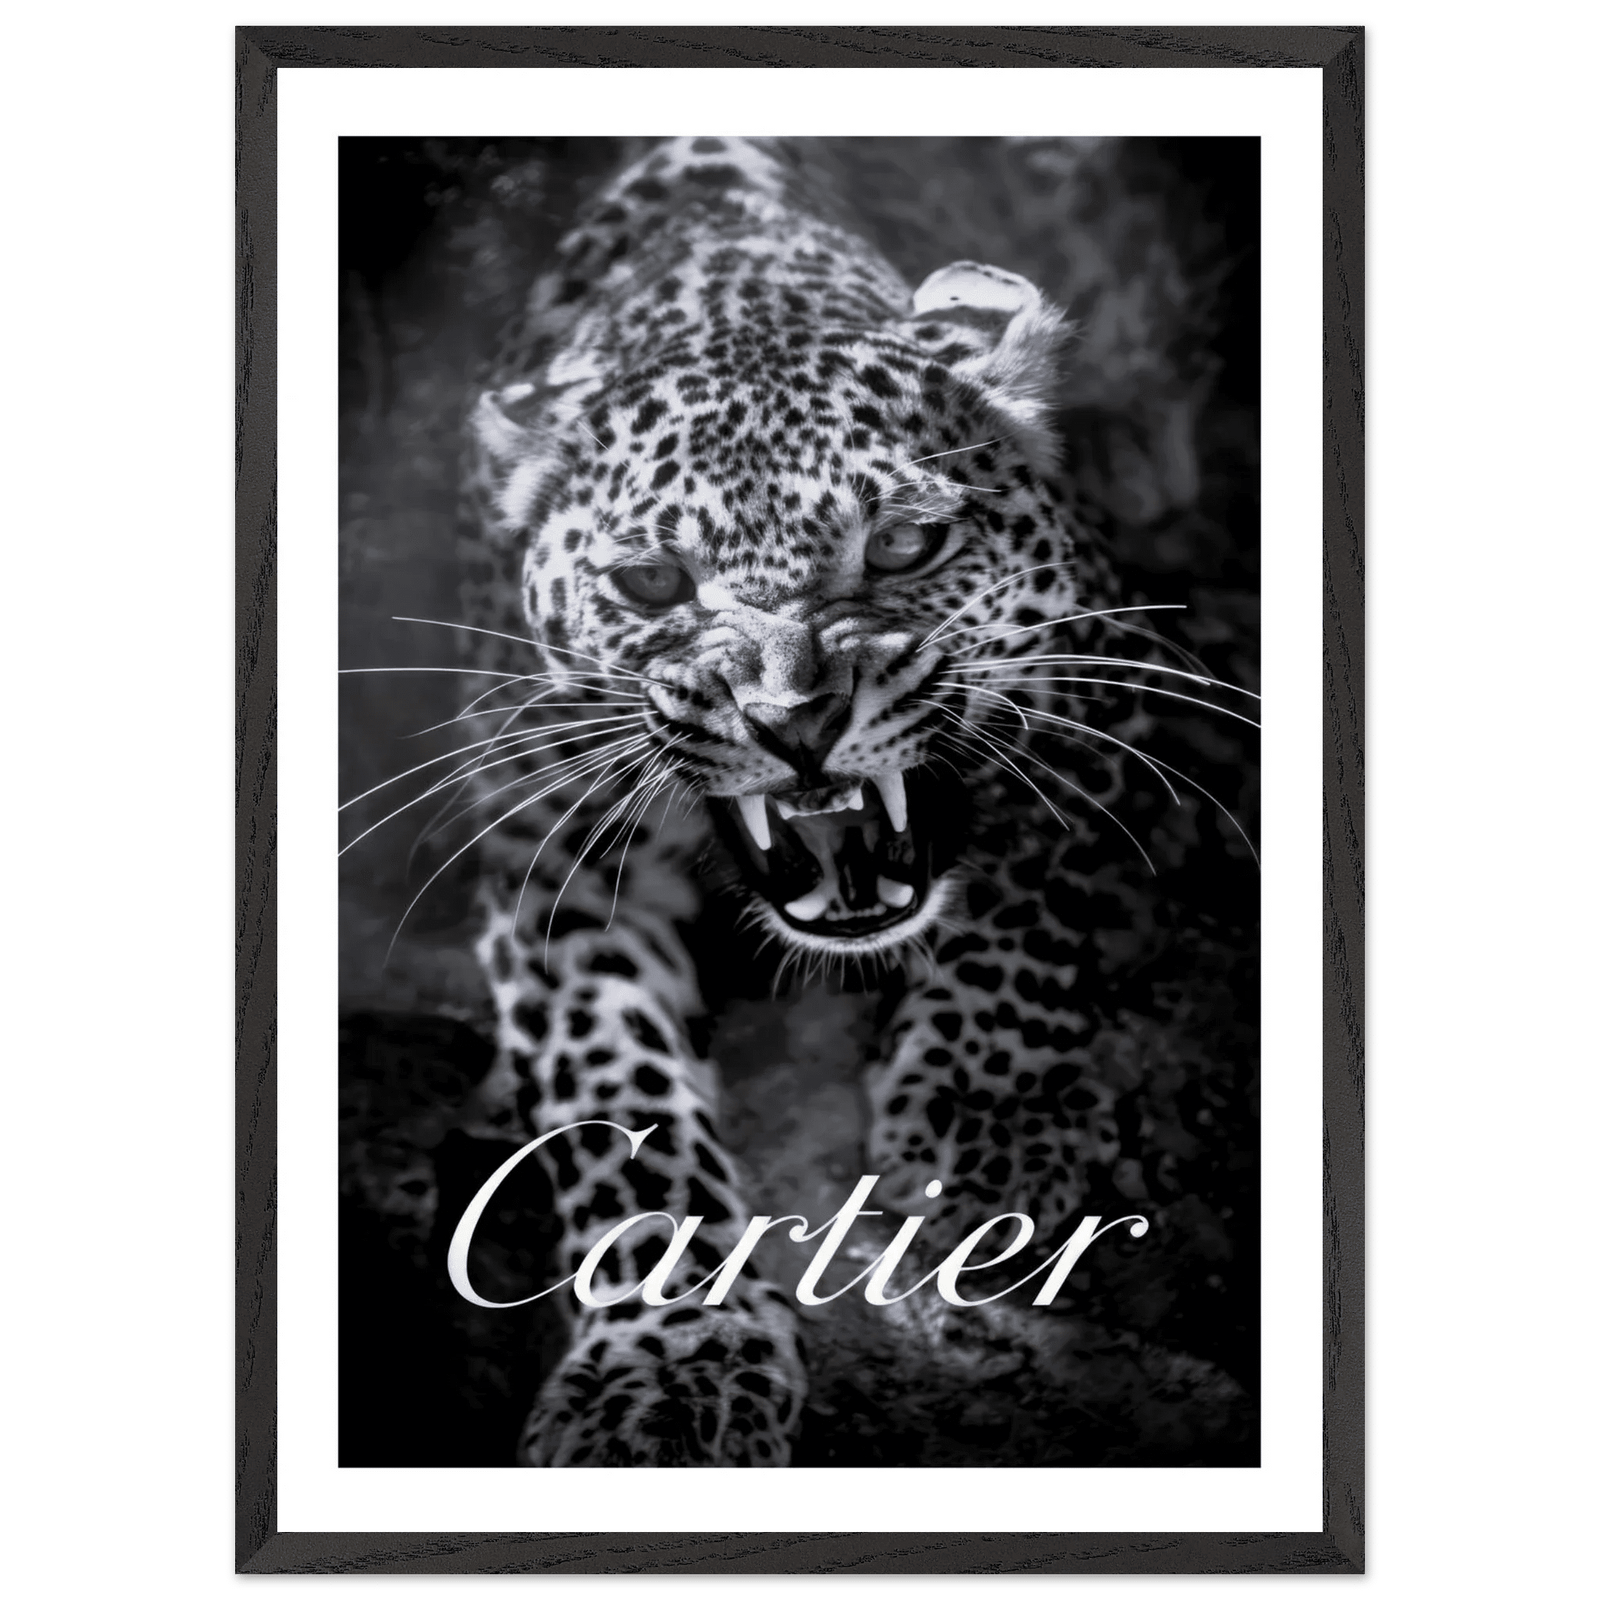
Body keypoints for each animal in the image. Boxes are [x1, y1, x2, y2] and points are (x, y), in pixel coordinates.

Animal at [349, 136, 1258, 1468]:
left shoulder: (1097, 675)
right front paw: (665, 1363)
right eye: (649, 581)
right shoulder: (547, 849)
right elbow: (614, 1099)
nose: (794, 720)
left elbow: (1026, 901)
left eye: (905, 546)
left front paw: (980, 1134)